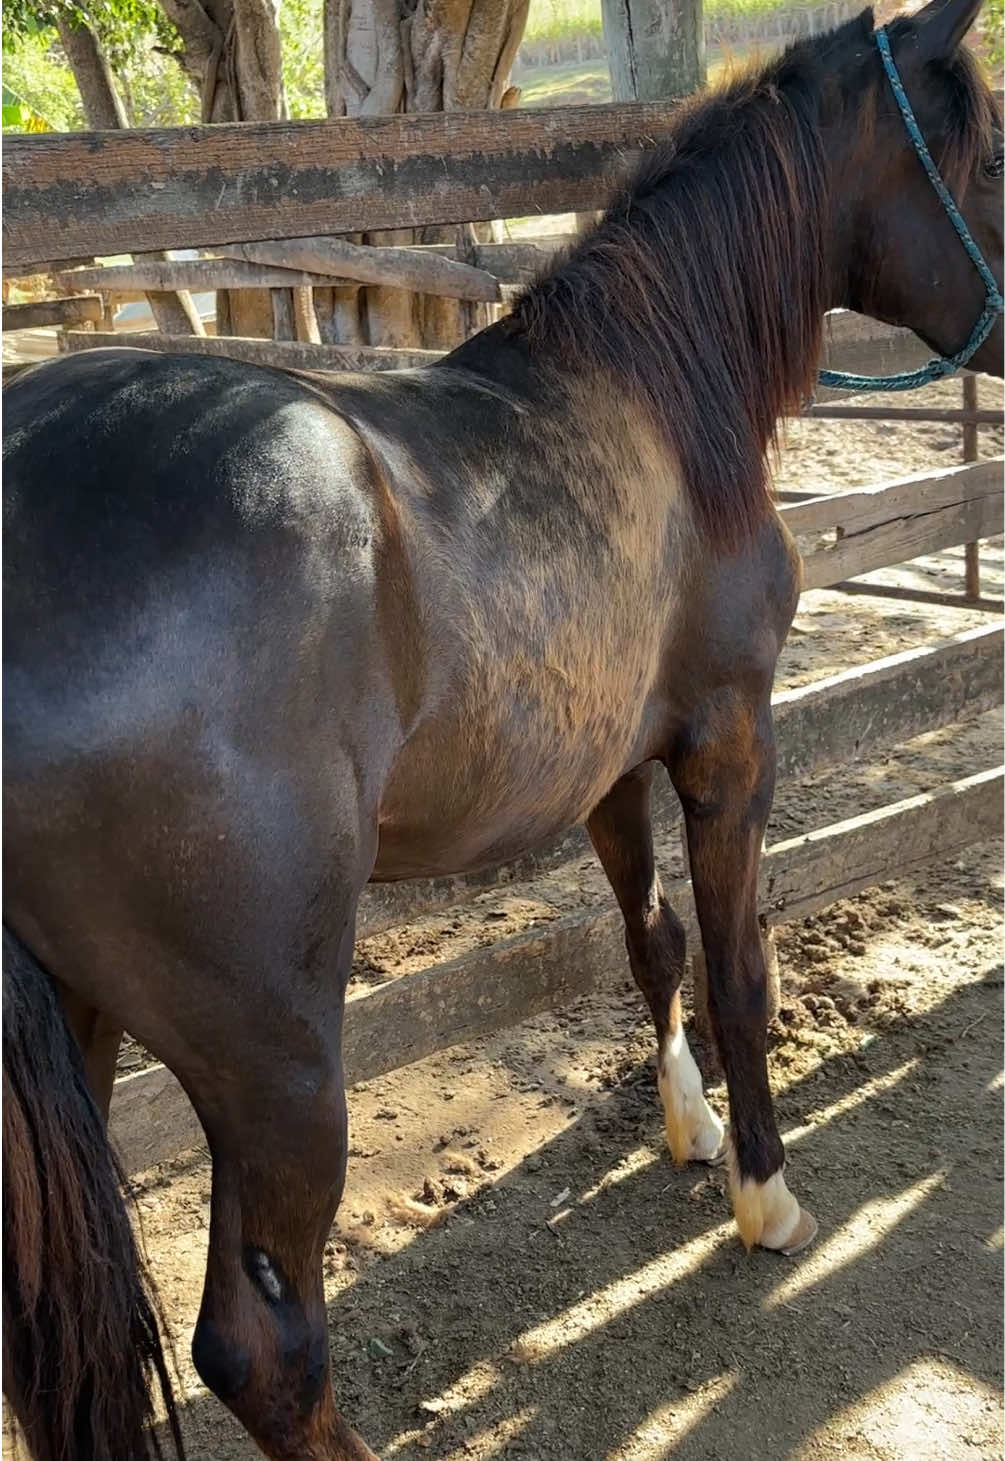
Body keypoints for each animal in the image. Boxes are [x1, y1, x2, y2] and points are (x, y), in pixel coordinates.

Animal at [4, 0, 1002, 1454]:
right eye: (989, 156)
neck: (654, 398)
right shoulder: (730, 748)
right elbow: (741, 973)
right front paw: (765, 1200)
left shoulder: (610, 769)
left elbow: (652, 947)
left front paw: (691, 1131)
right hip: (272, 1059)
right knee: (261, 1347)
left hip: (74, 1033)